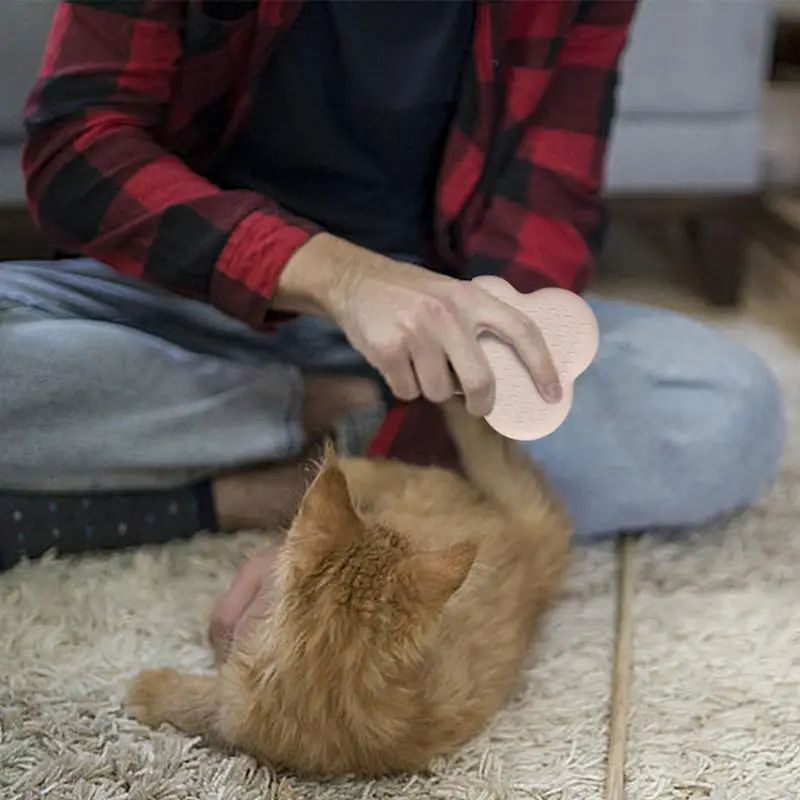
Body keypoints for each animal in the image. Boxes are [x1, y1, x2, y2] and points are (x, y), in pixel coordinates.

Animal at [125, 400, 572, 776]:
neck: (331, 664)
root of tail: (530, 543)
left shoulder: (234, 707)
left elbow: (195, 702)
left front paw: (147, 689)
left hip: (414, 476)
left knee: (373, 466)